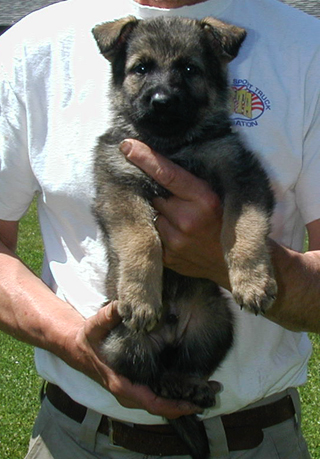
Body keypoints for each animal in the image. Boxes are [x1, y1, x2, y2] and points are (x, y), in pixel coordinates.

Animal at [91, 16, 276, 458]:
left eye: (189, 69)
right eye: (141, 68)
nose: (160, 101)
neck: (171, 147)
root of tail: (171, 331)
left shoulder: (241, 175)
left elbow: (244, 228)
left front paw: (251, 279)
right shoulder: (120, 187)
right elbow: (141, 238)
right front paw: (141, 295)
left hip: (215, 323)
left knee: (185, 367)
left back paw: (190, 386)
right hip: (120, 341)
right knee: (147, 377)